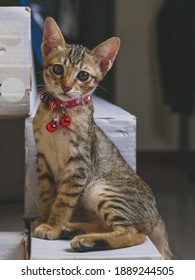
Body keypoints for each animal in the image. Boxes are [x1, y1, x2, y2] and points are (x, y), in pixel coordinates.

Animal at [32, 17, 171, 258]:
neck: (59, 113)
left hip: (103, 190)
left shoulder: (79, 165)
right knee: (107, 226)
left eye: (83, 75)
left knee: (135, 233)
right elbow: (47, 195)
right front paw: (45, 219)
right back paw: (72, 230)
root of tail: (157, 215)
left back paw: (84, 239)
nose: (66, 87)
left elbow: (63, 200)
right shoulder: (43, 160)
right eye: (58, 69)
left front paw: (53, 225)